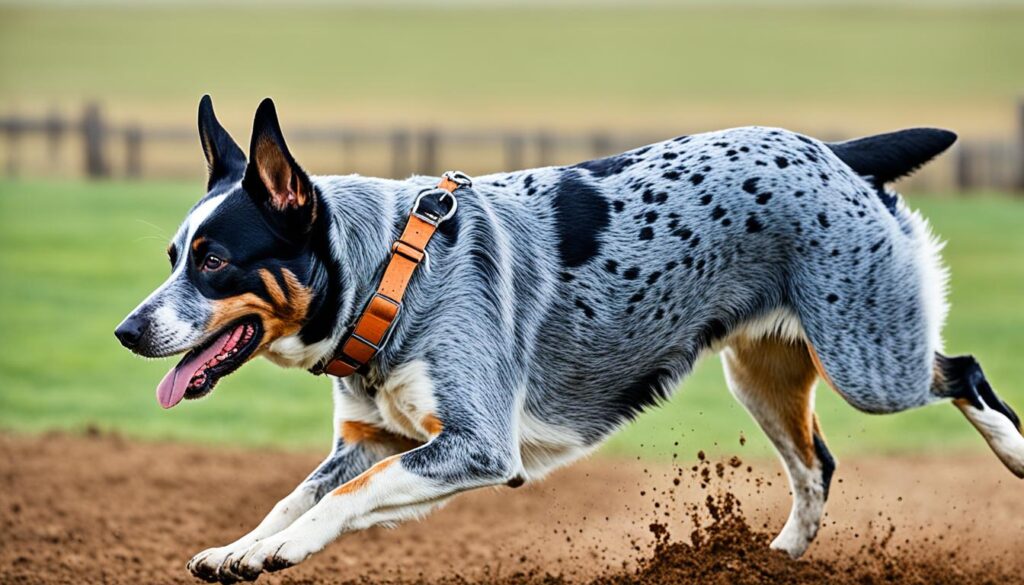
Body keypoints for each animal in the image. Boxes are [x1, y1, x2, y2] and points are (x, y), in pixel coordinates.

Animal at [116, 96, 1019, 581]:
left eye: (214, 259)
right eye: (172, 255)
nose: (127, 329)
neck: (391, 273)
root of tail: (836, 152)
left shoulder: (477, 446)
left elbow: (342, 499)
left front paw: (284, 549)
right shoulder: (377, 438)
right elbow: (297, 493)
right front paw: (242, 547)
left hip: (871, 360)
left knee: (963, 369)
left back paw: (1014, 454)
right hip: (762, 372)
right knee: (817, 463)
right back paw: (782, 554)